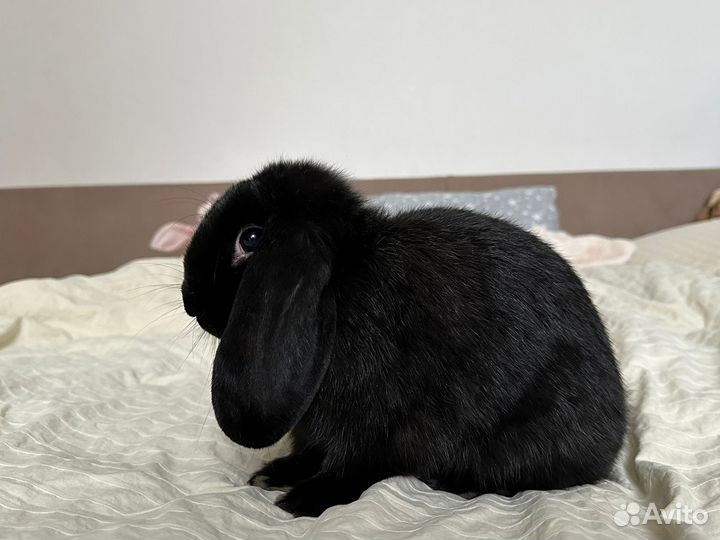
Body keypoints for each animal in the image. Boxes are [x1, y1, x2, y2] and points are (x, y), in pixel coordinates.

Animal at [181, 160, 626, 518]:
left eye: (251, 239)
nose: (189, 299)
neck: (348, 278)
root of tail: (611, 445)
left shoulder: (375, 421)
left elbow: (351, 465)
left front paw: (305, 500)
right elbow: (312, 451)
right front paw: (274, 474)